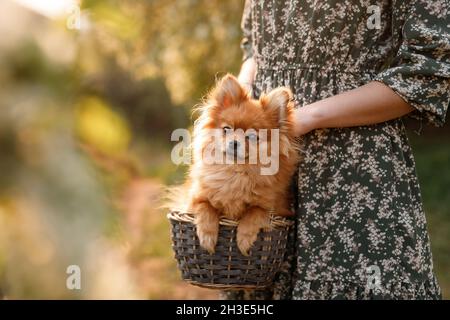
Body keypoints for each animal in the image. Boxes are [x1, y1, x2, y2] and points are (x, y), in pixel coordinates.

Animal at [185, 74, 298, 255]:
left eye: (251, 137)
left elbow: (255, 212)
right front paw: (208, 237)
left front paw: (244, 239)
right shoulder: (195, 199)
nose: (234, 142)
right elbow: (205, 207)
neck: (235, 172)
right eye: (227, 129)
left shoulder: (275, 209)